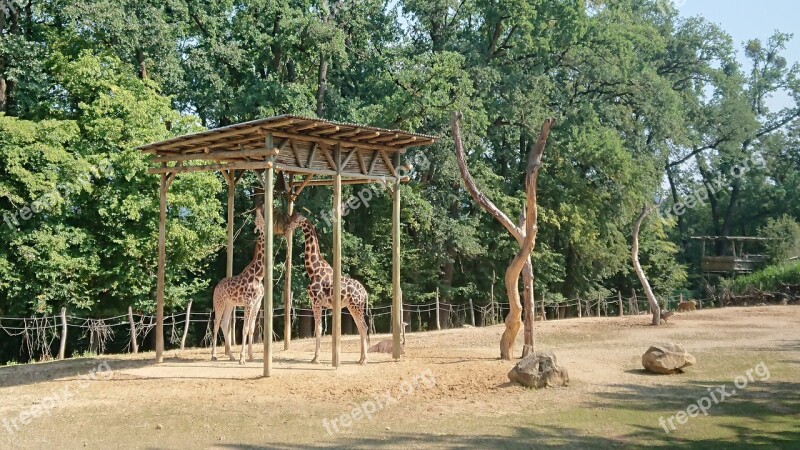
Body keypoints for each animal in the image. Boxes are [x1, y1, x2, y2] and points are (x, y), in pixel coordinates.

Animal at [211, 206, 264, 364]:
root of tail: (216, 287)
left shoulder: (258, 302)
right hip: (219, 302)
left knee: (224, 323)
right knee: (216, 323)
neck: (259, 275)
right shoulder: (249, 302)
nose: (259, 209)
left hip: (230, 304)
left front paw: (251, 356)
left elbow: (251, 328)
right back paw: (214, 355)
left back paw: (231, 355)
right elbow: (245, 328)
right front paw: (242, 358)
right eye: (258, 220)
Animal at [286, 213, 370, 364]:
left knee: (364, 327)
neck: (313, 270)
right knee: (361, 327)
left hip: (356, 306)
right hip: (353, 306)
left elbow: (318, 329)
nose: (286, 226)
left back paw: (364, 360)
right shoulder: (317, 302)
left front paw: (316, 358)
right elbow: (319, 329)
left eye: (295, 220)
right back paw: (360, 358)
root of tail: (365, 293)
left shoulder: (316, 301)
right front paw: (316, 357)